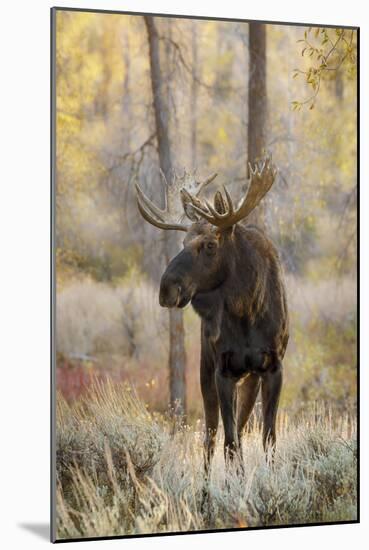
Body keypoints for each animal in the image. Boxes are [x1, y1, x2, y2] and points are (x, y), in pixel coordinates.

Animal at [135, 157, 288, 476]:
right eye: (182, 244)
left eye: (210, 245)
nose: (166, 289)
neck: (248, 312)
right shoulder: (222, 370)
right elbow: (228, 444)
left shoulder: (273, 367)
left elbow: (268, 439)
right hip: (206, 369)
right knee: (210, 438)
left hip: (250, 379)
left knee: (239, 429)